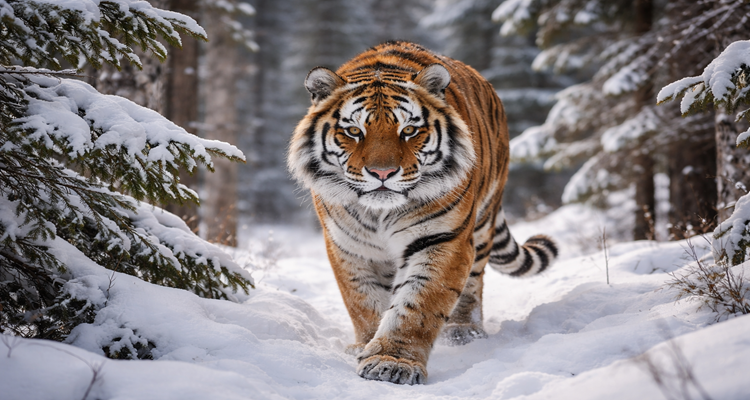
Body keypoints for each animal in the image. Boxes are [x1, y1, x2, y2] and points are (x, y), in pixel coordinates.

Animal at [287, 41, 558, 385]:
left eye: (409, 130)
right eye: (353, 131)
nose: (383, 173)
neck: (380, 214)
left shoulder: (443, 239)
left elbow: (417, 304)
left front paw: (392, 361)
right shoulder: (350, 247)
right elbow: (364, 302)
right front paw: (365, 346)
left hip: (482, 224)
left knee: (472, 285)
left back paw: (464, 330)